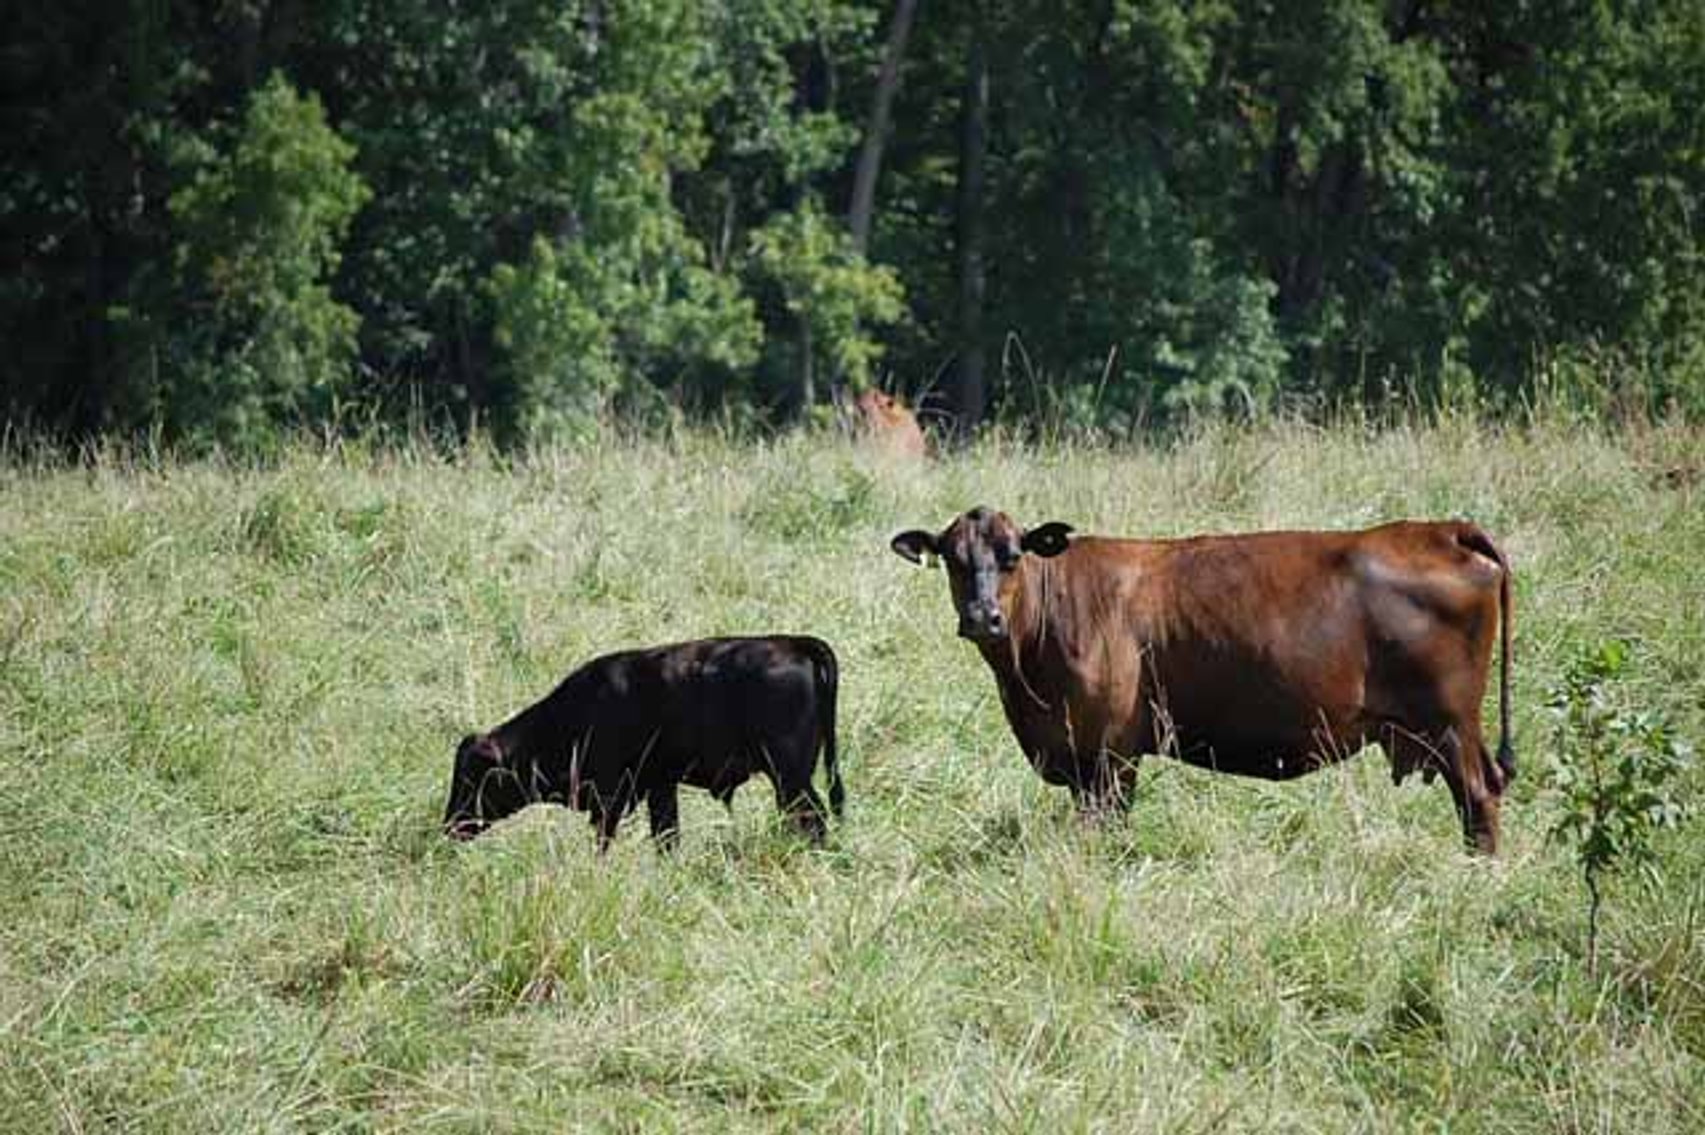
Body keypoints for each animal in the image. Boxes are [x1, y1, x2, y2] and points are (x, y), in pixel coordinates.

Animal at [443, 636, 844, 849]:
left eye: (471, 778)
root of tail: (795, 643)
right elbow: (667, 837)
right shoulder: (660, 787)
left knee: (812, 817)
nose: (449, 826)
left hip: (791, 778)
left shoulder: (609, 801)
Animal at [890, 509, 1515, 853]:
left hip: (1449, 724)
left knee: (1478, 796)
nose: (983, 616)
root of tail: (1442, 530)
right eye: (952, 559)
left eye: (1013, 555)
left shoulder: (1110, 757)